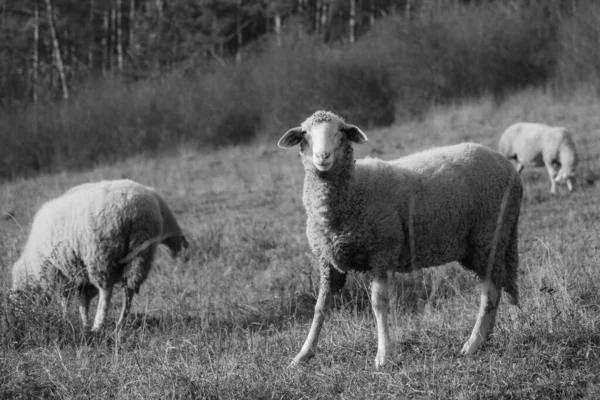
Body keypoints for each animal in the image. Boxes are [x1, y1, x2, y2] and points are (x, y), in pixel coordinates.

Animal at [11, 180, 188, 330]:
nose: (18, 322)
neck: (32, 265)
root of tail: (137, 207)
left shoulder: (58, 273)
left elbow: (65, 300)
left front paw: (66, 319)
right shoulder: (80, 276)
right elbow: (83, 301)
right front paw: (83, 323)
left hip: (100, 255)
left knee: (106, 292)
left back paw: (98, 325)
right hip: (142, 252)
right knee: (129, 289)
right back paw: (120, 323)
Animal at [278, 110, 524, 368]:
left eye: (341, 131)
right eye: (305, 133)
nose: (322, 156)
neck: (354, 191)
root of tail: (506, 165)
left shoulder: (382, 252)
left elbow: (378, 303)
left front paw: (383, 354)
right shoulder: (328, 263)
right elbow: (320, 307)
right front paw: (302, 355)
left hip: (488, 236)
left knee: (492, 291)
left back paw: (474, 343)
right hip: (503, 235)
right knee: (509, 281)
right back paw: (516, 326)